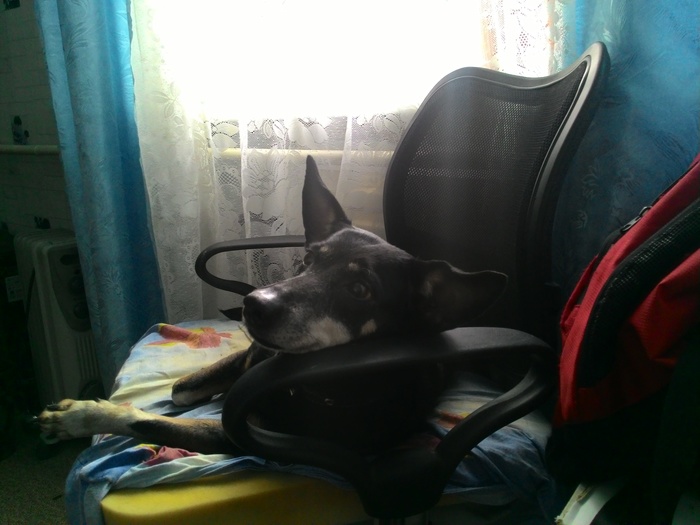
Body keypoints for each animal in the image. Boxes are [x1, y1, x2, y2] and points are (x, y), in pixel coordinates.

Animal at [38, 155, 506, 455]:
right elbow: (180, 391)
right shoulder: (247, 358)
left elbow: (150, 420)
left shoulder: (236, 437)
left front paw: (81, 417)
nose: (253, 305)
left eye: (360, 289)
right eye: (307, 260)